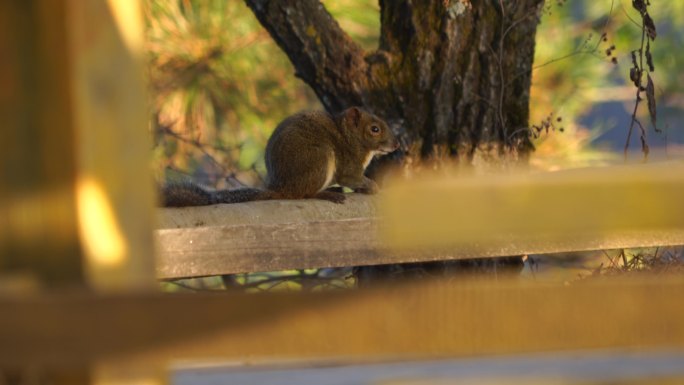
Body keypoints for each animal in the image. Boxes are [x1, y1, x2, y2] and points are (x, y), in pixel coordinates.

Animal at [163, 106, 400, 206]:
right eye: (375, 129)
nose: (397, 144)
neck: (348, 136)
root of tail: (281, 188)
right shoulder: (349, 166)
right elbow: (351, 178)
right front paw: (371, 186)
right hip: (319, 159)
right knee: (304, 194)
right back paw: (327, 194)